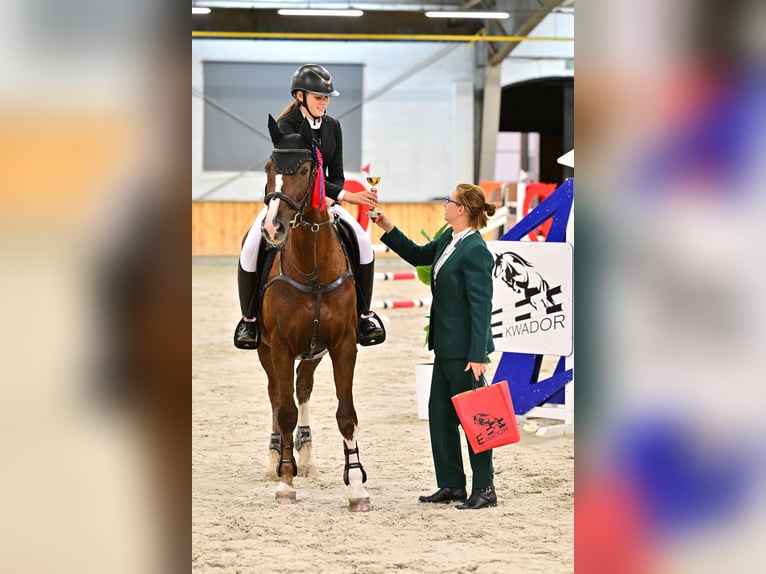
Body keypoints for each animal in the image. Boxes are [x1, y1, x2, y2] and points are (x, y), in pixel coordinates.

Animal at [258, 116, 372, 512]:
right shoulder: (279, 346)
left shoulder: (343, 346)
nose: (272, 228)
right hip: (266, 350)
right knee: (277, 397)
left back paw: (305, 458)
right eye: (269, 168)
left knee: (302, 388)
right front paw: (284, 482)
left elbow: (346, 415)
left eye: (307, 170)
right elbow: (284, 411)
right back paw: (277, 461)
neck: (313, 267)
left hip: (313, 353)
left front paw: (357, 488)